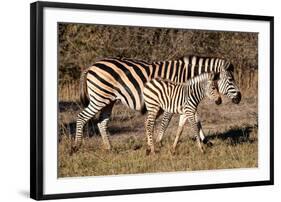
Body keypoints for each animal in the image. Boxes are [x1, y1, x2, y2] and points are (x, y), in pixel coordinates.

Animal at [70, 55, 241, 153]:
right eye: (230, 80)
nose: (239, 97)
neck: (186, 76)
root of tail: (91, 66)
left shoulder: (183, 100)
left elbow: (197, 121)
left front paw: (206, 141)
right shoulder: (173, 99)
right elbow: (166, 122)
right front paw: (157, 143)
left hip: (108, 101)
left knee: (102, 122)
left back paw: (109, 148)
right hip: (99, 98)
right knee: (82, 117)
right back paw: (76, 147)